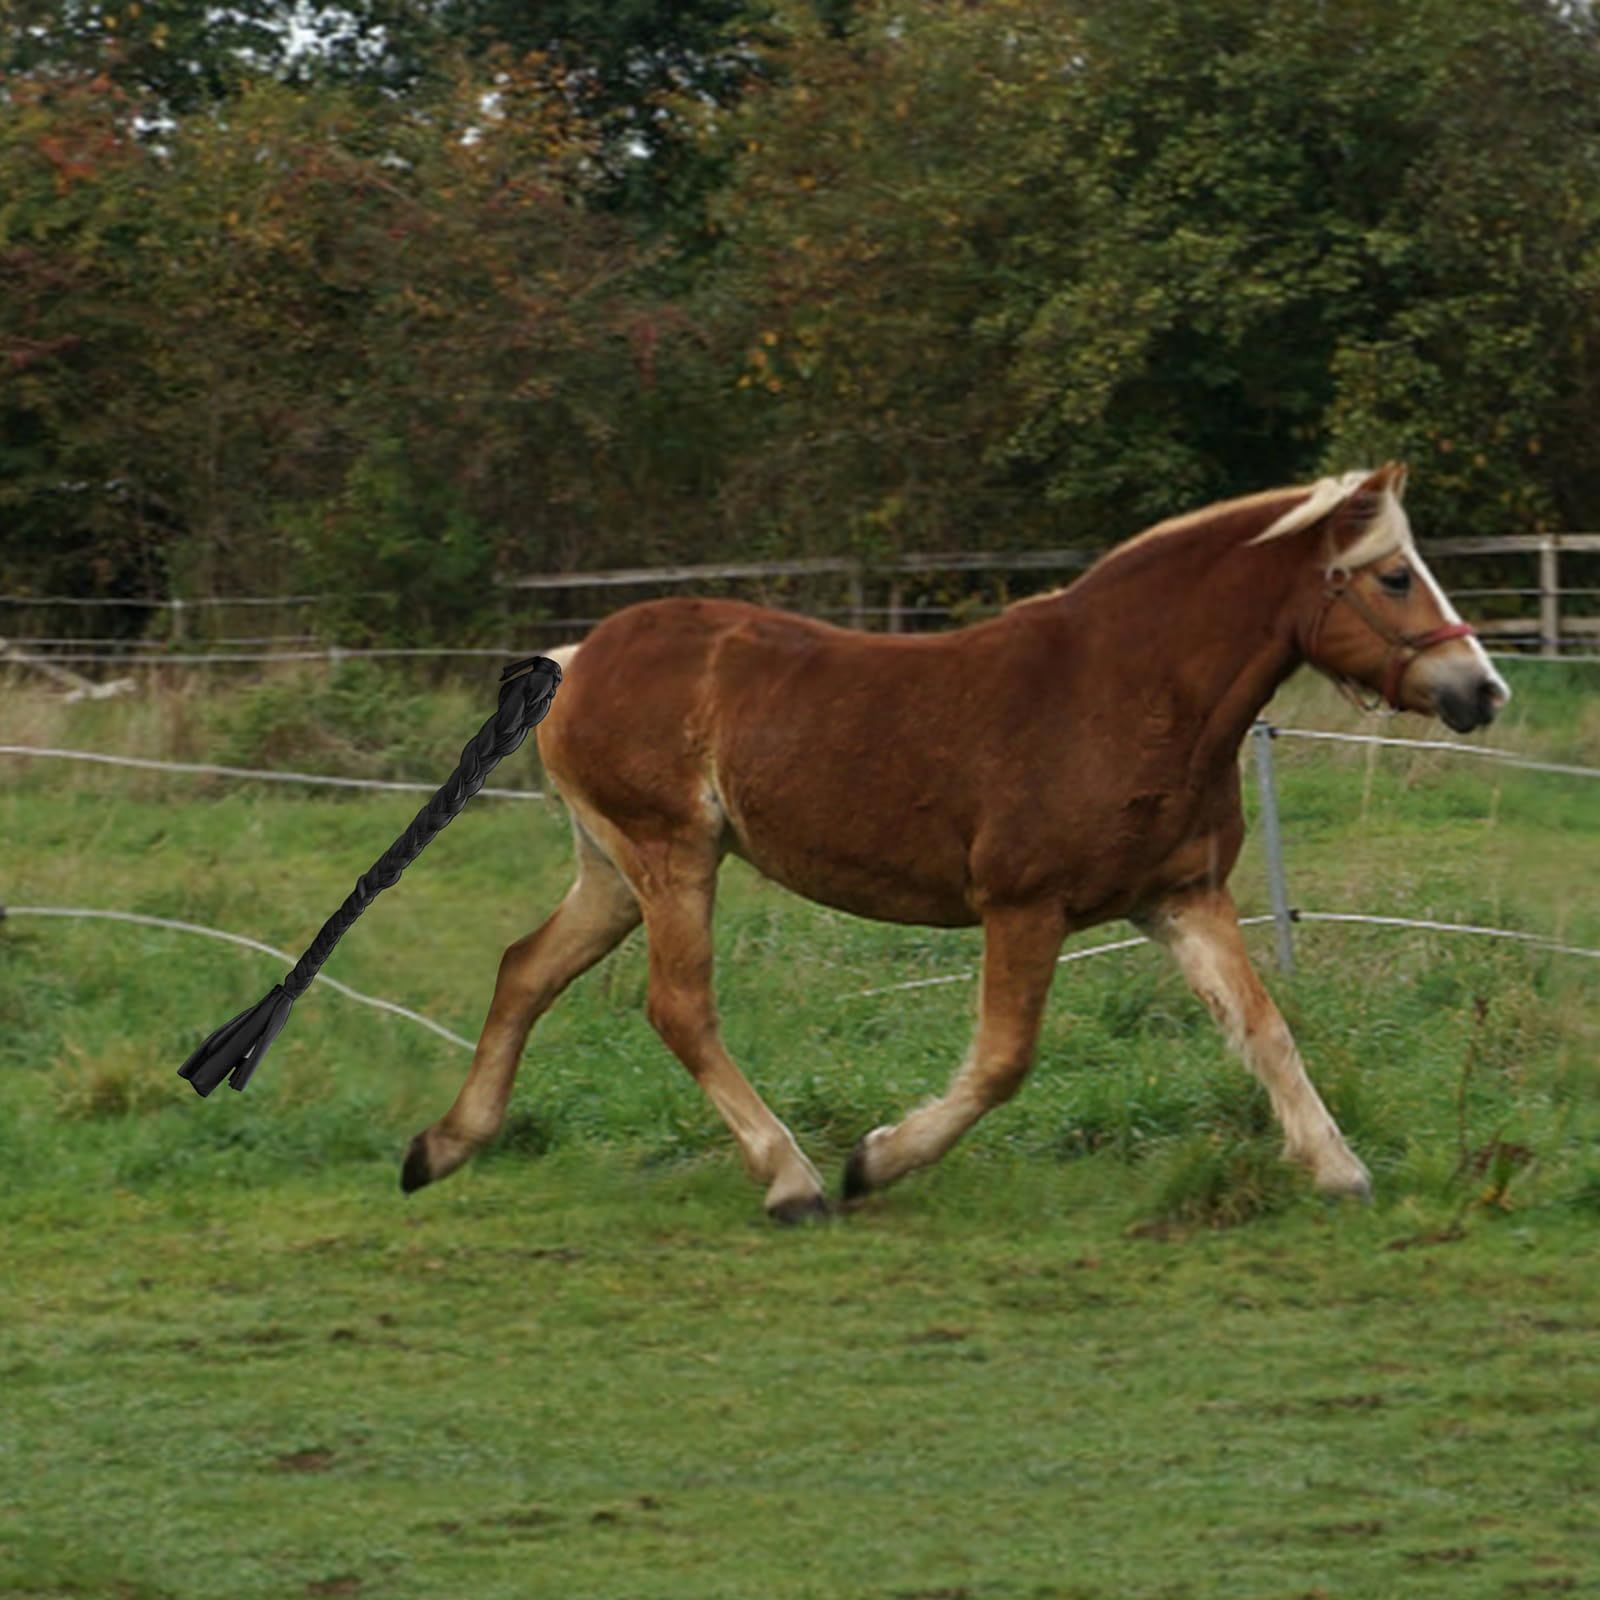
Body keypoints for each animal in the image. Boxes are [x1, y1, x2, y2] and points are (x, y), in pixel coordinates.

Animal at [400, 463, 1509, 1220]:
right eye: (1394, 578)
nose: (1482, 691)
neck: (1128, 691)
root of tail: (574, 658)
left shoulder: (1181, 900)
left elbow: (1263, 1030)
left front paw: (1339, 1169)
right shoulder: (1024, 907)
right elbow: (1002, 1061)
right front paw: (874, 1161)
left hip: (615, 871)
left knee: (525, 970)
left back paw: (441, 1149)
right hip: (671, 859)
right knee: (678, 1008)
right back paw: (794, 1180)